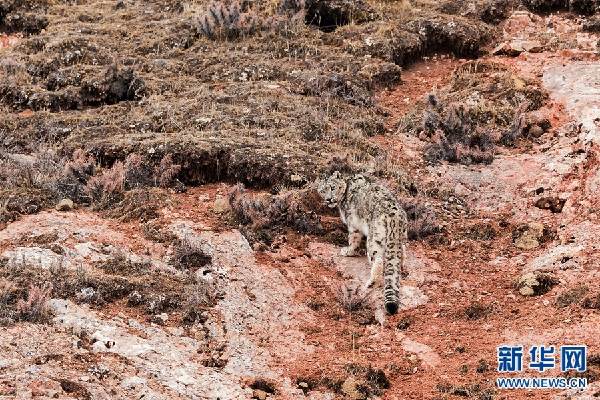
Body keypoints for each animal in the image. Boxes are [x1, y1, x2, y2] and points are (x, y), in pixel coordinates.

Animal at [318, 170, 408, 314]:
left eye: (332, 187)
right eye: (322, 190)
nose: (328, 199)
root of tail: (394, 217)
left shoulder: (352, 224)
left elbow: (353, 239)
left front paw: (347, 251)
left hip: (374, 238)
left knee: (378, 260)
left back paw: (372, 282)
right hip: (402, 238)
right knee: (402, 252)